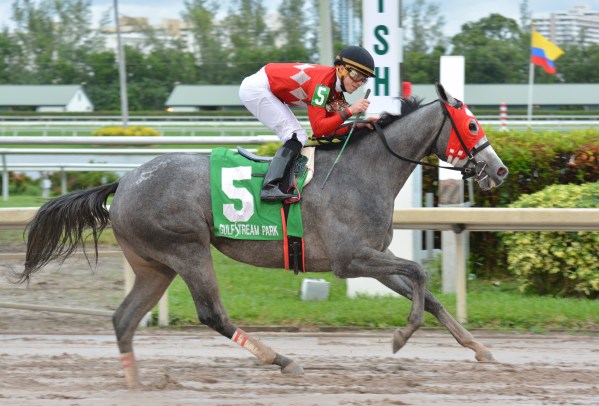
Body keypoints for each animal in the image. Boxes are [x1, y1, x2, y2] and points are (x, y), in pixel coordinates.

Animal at [18, 82, 508, 388]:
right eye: (473, 125)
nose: (499, 169)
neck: (363, 172)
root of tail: (124, 181)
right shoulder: (351, 259)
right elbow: (420, 276)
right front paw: (401, 336)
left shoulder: (371, 257)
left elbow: (430, 295)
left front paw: (480, 348)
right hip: (186, 249)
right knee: (212, 314)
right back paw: (283, 360)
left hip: (154, 265)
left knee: (123, 320)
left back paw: (135, 383)